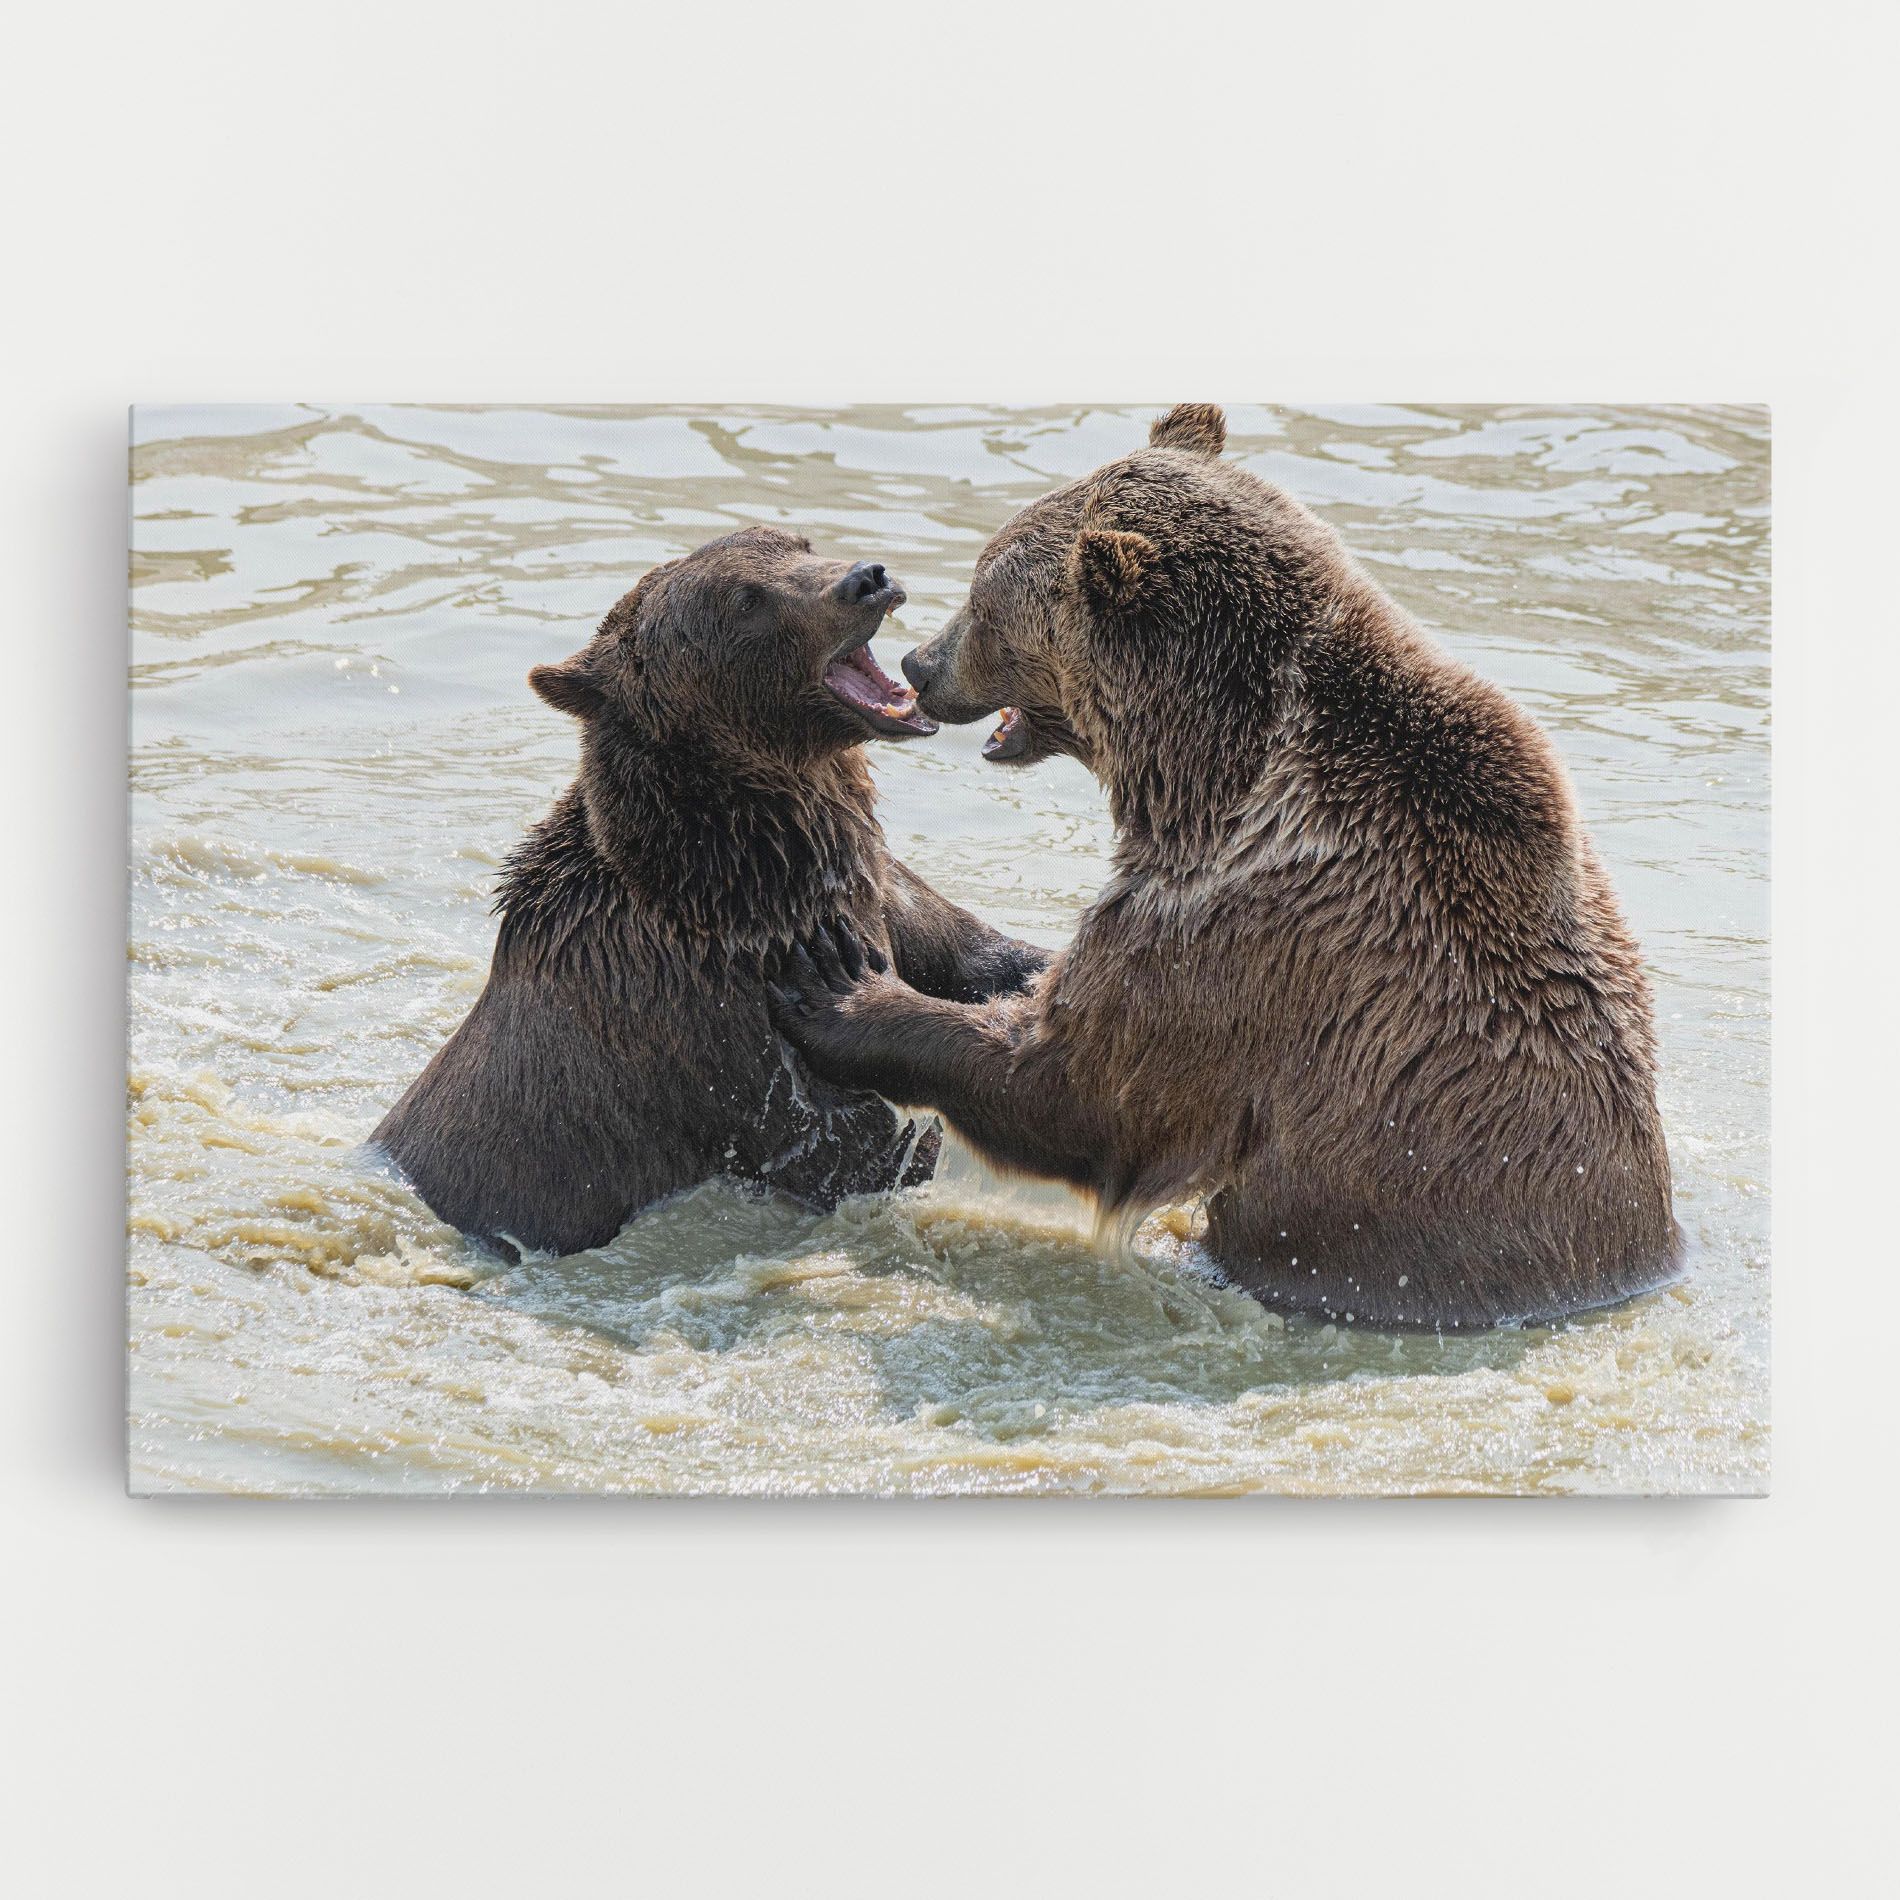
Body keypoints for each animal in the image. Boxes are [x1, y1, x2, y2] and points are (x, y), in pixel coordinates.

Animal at [371, 525, 1048, 1259]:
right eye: (746, 600)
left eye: (798, 543)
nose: (867, 579)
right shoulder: (722, 1027)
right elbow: (857, 1145)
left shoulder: (878, 890)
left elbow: (979, 954)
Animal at [768, 405, 1681, 1331]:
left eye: (985, 600)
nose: (920, 664)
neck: (1206, 772)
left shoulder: (1241, 930)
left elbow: (1078, 1084)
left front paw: (842, 989)